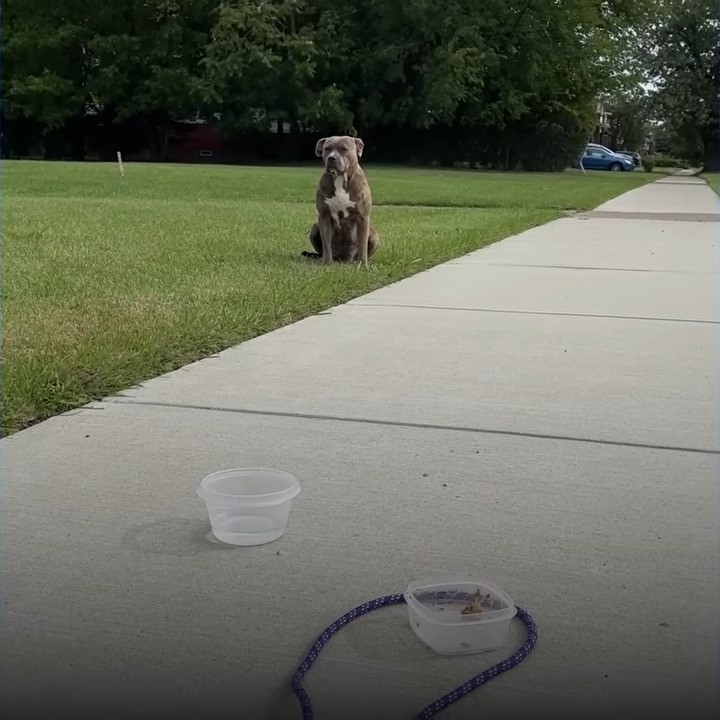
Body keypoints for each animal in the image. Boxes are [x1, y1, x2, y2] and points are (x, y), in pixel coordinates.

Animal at [300, 134, 380, 264]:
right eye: (327, 148)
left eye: (344, 149)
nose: (331, 158)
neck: (340, 179)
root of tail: (343, 258)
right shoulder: (324, 215)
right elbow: (326, 243)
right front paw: (327, 263)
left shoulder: (362, 217)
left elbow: (363, 244)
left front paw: (363, 264)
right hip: (315, 227)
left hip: (374, 234)